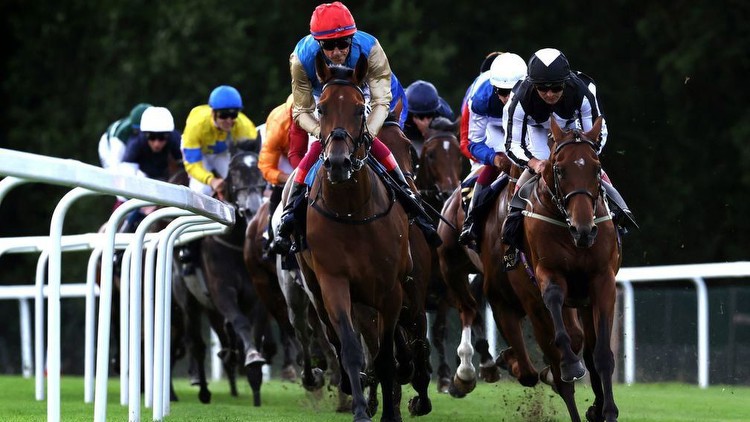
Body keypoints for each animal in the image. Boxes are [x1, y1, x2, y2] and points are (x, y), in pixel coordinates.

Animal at [296, 59, 412, 422]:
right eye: (321, 108)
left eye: (360, 109)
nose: (337, 162)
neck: (352, 212)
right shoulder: (333, 281)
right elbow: (349, 346)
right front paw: (361, 408)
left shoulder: (390, 288)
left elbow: (386, 353)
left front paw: (390, 412)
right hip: (318, 290)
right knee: (336, 336)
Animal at [512, 116, 624, 422]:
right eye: (560, 170)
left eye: (596, 168)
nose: (583, 230)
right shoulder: (547, 273)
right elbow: (555, 306)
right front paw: (571, 366)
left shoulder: (602, 281)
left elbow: (601, 355)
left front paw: (607, 411)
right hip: (532, 304)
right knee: (562, 371)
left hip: (584, 302)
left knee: (588, 347)